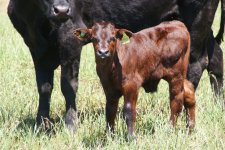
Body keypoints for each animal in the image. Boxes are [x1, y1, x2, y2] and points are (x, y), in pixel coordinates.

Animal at [7, 0, 223, 131]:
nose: (61, 10)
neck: (36, 20)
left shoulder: (70, 39)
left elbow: (68, 85)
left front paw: (70, 125)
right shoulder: (35, 46)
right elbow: (44, 87)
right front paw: (41, 125)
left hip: (198, 21)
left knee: (196, 65)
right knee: (216, 58)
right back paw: (217, 103)